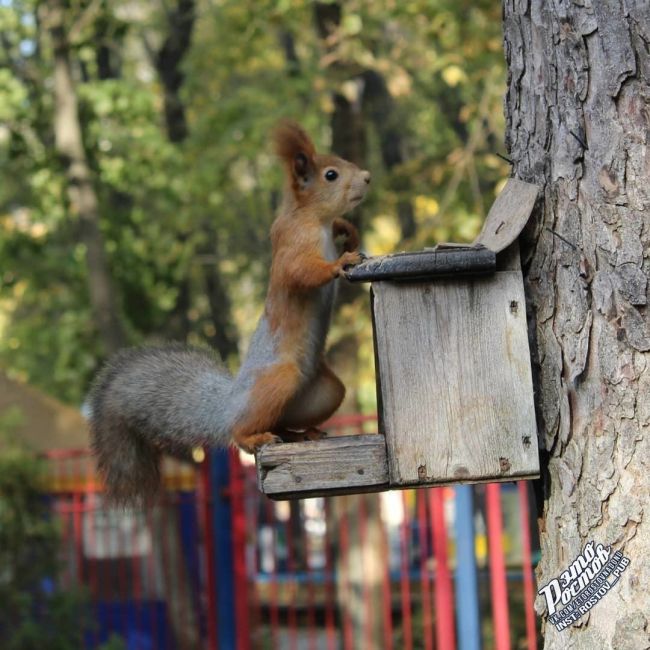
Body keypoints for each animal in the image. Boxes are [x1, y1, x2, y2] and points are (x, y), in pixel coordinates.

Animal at [88, 119, 370, 502]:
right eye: (331, 175)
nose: (367, 177)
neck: (311, 217)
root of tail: (229, 405)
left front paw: (348, 231)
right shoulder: (292, 247)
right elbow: (303, 272)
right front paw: (341, 260)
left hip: (324, 391)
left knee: (283, 422)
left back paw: (303, 433)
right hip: (279, 380)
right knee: (241, 433)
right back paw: (257, 436)